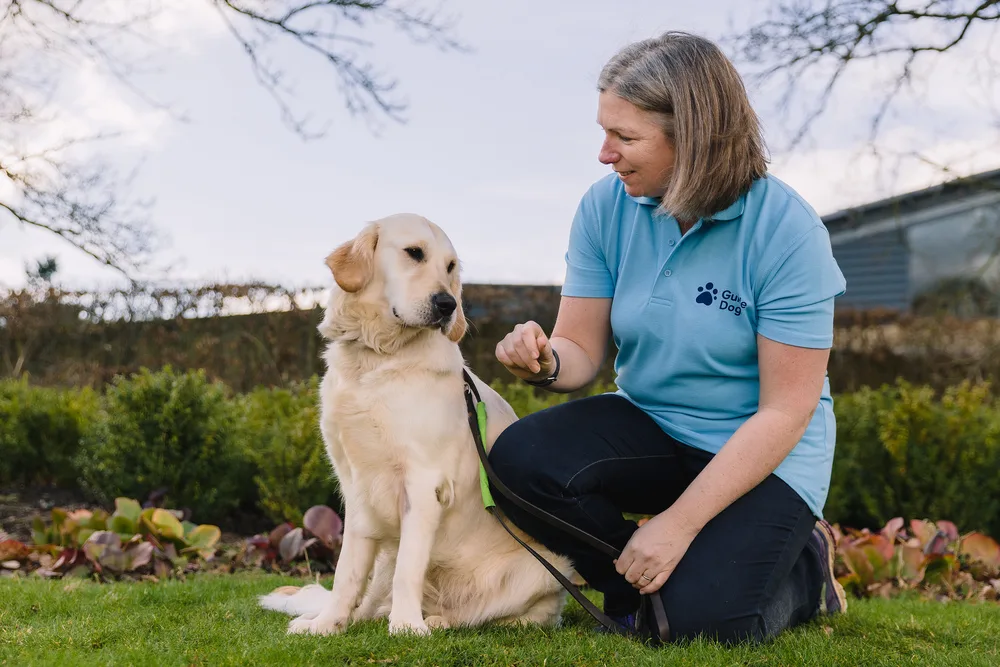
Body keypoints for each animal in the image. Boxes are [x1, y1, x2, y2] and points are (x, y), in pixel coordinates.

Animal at [254, 214, 576, 636]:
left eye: (450, 266)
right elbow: (347, 573)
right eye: (414, 253)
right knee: (373, 595)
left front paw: (407, 626)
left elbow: (409, 567)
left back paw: (435, 620)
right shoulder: (355, 485)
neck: (378, 361)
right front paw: (328, 624)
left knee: (488, 615)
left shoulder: (424, 481)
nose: (447, 304)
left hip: (544, 573)